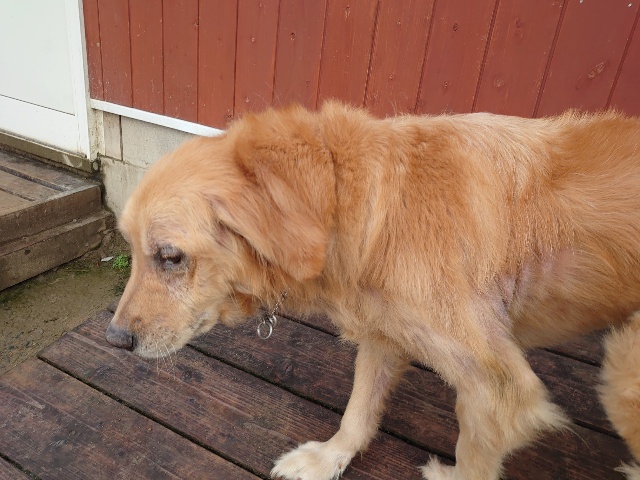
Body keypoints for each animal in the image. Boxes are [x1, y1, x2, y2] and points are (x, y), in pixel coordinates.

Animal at [106, 101, 640, 480]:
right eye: (129, 245)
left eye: (170, 256)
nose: (114, 339)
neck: (349, 198)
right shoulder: (384, 331)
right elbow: (358, 411)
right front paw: (327, 459)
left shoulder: (498, 387)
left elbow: (473, 458)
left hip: (621, 367)